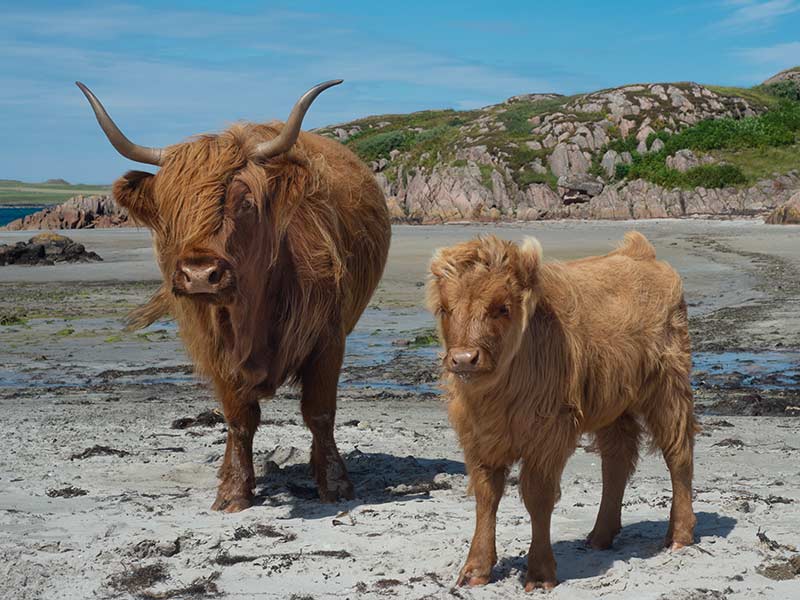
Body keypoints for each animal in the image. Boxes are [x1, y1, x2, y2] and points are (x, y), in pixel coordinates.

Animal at [79, 78, 392, 510]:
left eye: (244, 203)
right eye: (171, 209)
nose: (199, 274)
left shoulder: (328, 339)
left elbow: (320, 413)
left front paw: (335, 484)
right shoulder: (214, 350)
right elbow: (239, 420)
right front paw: (233, 491)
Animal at [428, 233, 696, 592]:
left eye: (502, 307)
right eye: (445, 309)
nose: (463, 359)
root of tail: (639, 253)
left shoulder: (547, 436)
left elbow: (537, 497)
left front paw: (540, 573)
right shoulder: (478, 438)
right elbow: (486, 497)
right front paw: (476, 570)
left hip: (668, 388)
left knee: (677, 453)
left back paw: (679, 534)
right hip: (614, 405)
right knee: (617, 461)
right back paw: (600, 535)